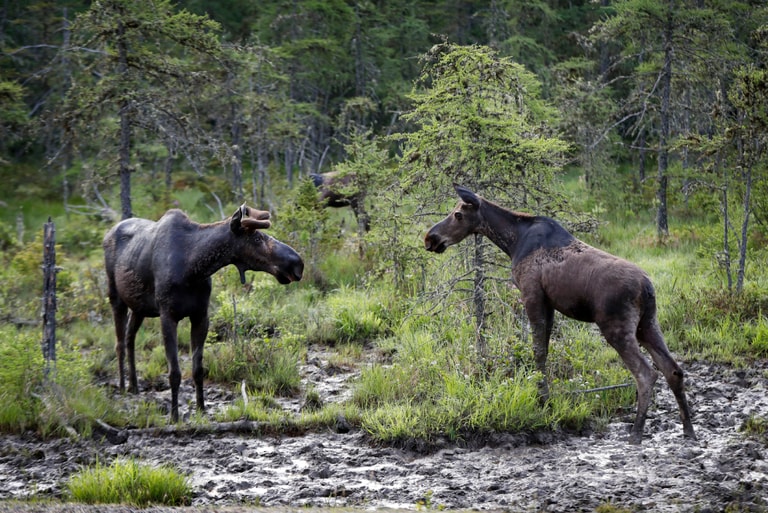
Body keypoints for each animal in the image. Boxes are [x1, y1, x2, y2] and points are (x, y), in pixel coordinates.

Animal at [103, 203, 302, 420]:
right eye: (257, 238)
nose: (297, 263)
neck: (193, 268)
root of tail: (107, 234)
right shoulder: (167, 316)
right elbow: (175, 372)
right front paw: (174, 416)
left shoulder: (200, 316)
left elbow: (198, 369)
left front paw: (201, 408)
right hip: (116, 298)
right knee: (119, 344)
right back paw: (123, 387)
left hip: (139, 307)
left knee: (129, 339)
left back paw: (134, 386)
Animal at [426, 185, 696, 444]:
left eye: (458, 214)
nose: (430, 238)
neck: (512, 242)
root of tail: (647, 288)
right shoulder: (550, 303)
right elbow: (544, 350)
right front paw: (544, 398)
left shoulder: (532, 295)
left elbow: (538, 351)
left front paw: (541, 400)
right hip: (648, 324)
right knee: (673, 370)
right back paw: (689, 431)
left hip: (617, 327)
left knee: (646, 374)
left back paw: (636, 434)